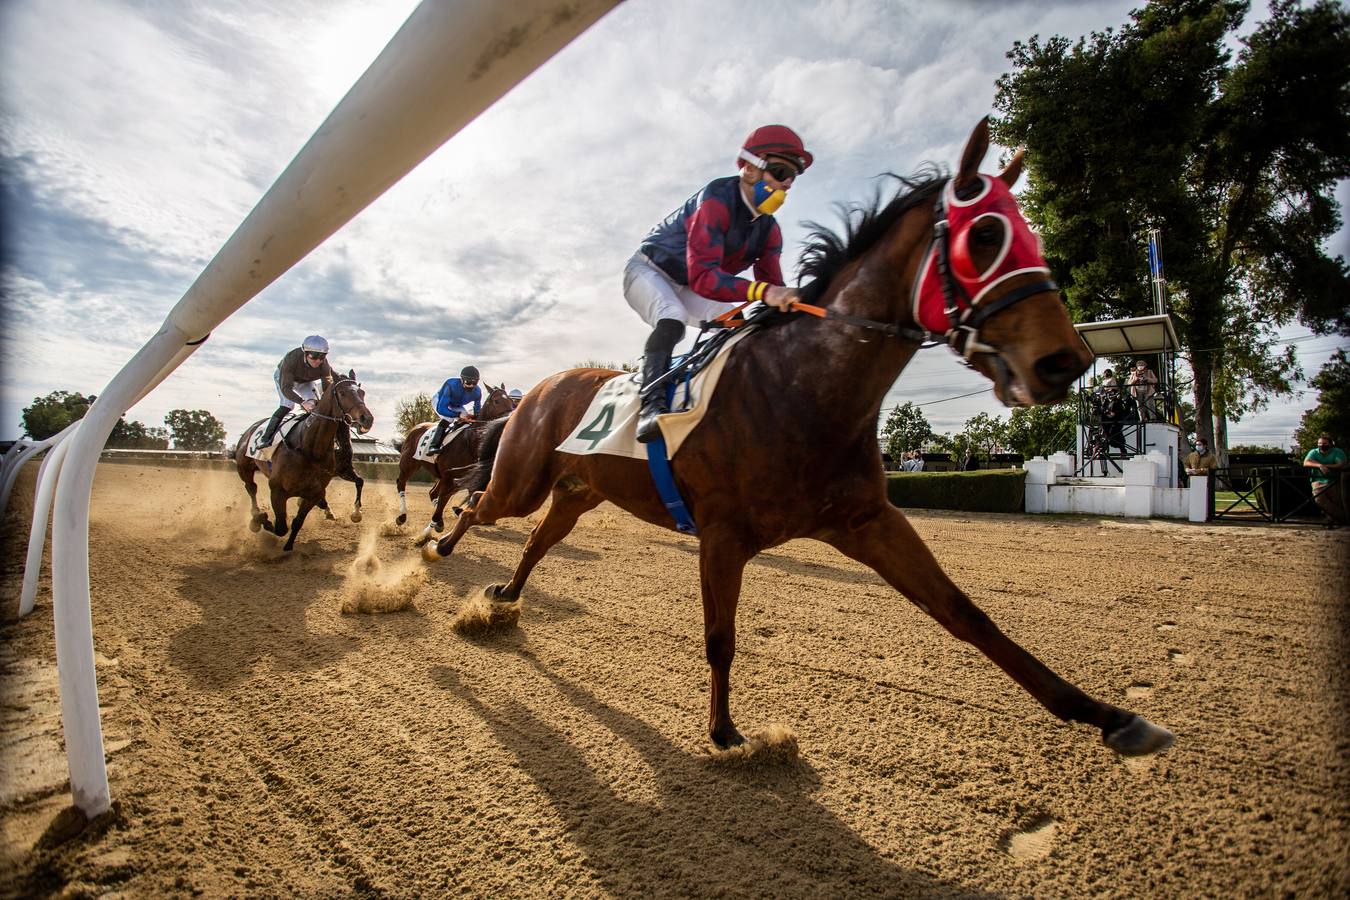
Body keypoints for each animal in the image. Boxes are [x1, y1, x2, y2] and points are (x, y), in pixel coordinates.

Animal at [234, 369, 375, 553]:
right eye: (342, 393)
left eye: (362, 392)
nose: (367, 419)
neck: (309, 448)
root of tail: (252, 428)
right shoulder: (277, 490)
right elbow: (281, 527)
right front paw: (261, 519)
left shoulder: (323, 485)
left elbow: (297, 521)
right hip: (244, 467)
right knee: (251, 488)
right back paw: (255, 516)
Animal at [394, 380, 515, 542]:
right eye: (496, 401)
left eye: (511, 401)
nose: (512, 417)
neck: (470, 443)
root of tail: (416, 428)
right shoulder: (450, 478)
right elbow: (443, 502)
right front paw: (425, 534)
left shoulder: (463, 478)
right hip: (409, 464)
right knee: (401, 483)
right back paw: (402, 516)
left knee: (433, 493)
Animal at [426, 118, 1177, 761]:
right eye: (985, 237)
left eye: (1033, 238)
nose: (1063, 361)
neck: (803, 388)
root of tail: (541, 387)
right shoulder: (723, 534)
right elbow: (720, 639)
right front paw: (725, 731)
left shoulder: (867, 519)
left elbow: (966, 614)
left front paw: (1110, 716)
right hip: (522, 478)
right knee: (475, 504)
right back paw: (433, 546)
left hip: (578, 490)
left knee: (534, 538)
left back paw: (501, 594)